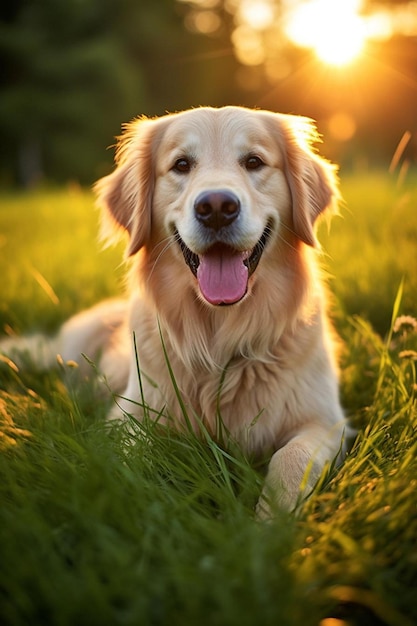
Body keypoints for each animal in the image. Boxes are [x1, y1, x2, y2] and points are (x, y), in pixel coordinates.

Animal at [1, 107, 350, 516]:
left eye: (254, 162)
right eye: (181, 165)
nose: (216, 208)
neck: (220, 343)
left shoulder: (326, 422)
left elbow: (291, 458)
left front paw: (270, 521)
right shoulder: (133, 413)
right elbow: (122, 460)